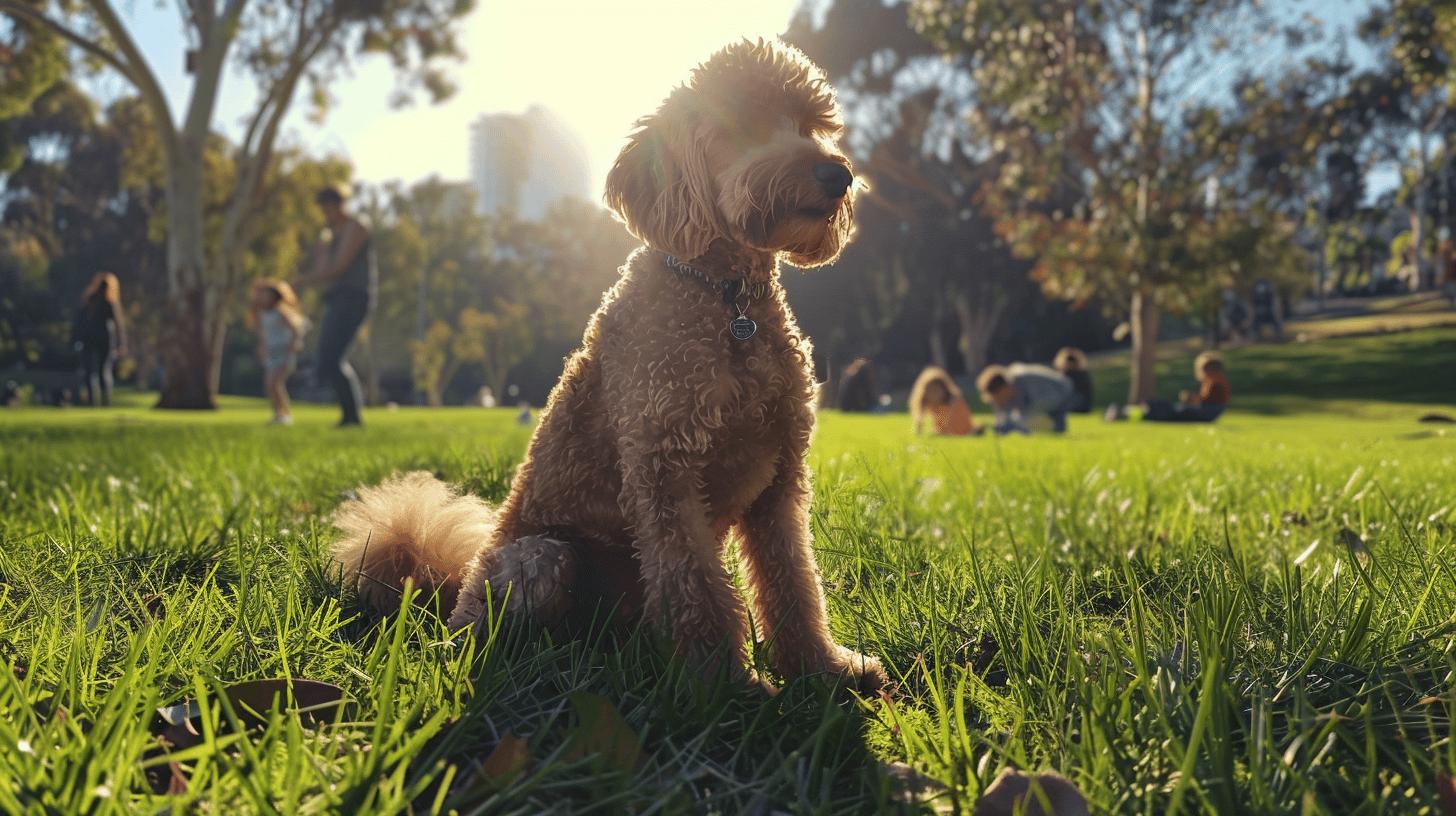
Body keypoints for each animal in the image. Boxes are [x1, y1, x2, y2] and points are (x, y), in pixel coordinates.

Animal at [333, 36, 885, 687]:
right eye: (745, 121)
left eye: (812, 125)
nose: (838, 174)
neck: (728, 301)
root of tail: (455, 586)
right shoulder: (664, 468)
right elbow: (697, 586)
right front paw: (724, 684)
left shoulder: (779, 477)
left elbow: (793, 581)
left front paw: (823, 669)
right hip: (540, 556)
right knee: (494, 634)